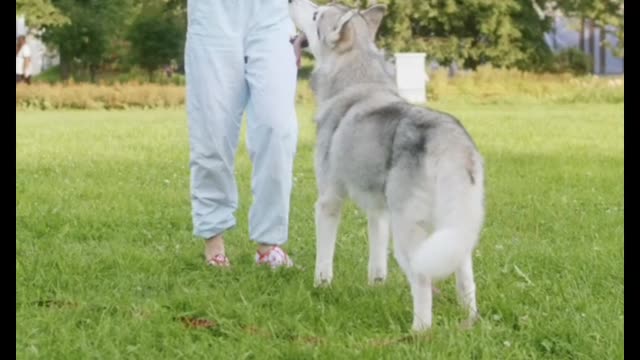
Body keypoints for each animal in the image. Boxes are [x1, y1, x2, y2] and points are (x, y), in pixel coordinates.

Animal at [290, 0, 484, 332]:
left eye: (316, 15)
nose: (289, 3)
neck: (359, 80)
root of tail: (449, 140)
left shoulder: (329, 201)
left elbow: (324, 258)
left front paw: (321, 287)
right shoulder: (379, 210)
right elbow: (377, 257)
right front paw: (376, 286)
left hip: (409, 232)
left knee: (421, 279)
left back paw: (419, 331)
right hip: (454, 227)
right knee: (466, 279)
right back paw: (469, 320)